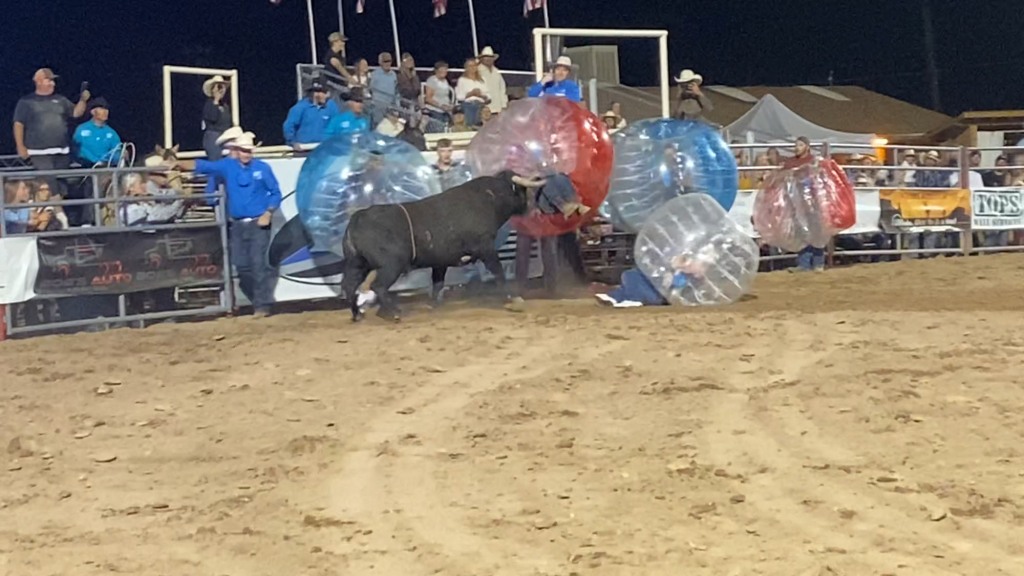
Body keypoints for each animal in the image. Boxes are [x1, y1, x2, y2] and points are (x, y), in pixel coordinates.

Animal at [342, 170, 585, 323]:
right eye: (522, 191)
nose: (530, 207)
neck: (490, 197)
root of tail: (357, 218)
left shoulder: (440, 262)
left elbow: (438, 284)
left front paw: (435, 307)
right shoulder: (485, 248)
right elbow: (498, 272)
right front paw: (513, 299)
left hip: (357, 264)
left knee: (349, 286)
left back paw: (358, 314)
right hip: (391, 265)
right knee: (379, 286)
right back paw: (392, 313)